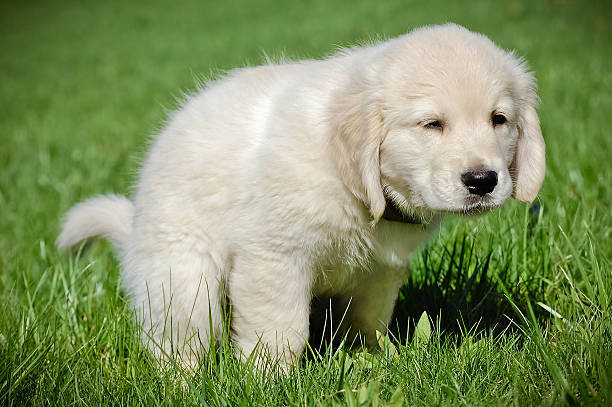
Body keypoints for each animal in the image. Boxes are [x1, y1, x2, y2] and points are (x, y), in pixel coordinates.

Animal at [57, 23, 544, 372]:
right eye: (432, 124)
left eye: (499, 119)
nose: (482, 180)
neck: (356, 187)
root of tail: (135, 229)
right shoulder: (273, 259)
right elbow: (280, 331)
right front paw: (270, 381)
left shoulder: (381, 272)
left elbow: (368, 323)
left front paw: (374, 360)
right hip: (182, 276)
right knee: (179, 340)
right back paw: (182, 381)